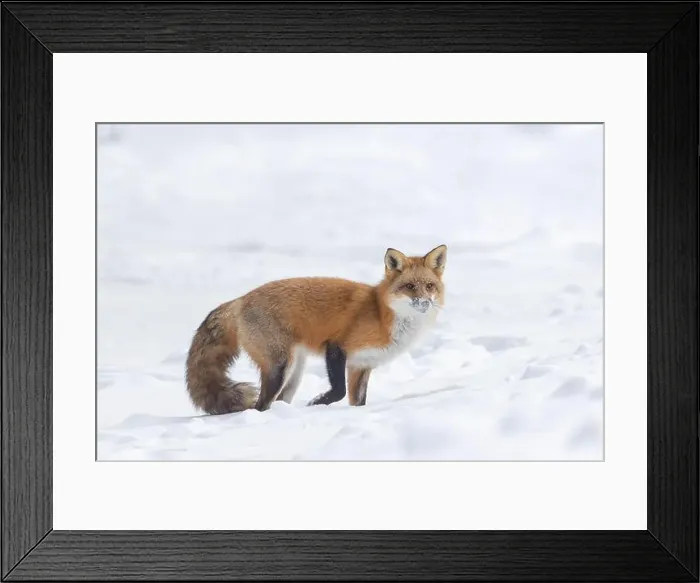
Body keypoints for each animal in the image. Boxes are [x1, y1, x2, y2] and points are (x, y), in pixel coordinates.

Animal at [185, 244, 447, 414]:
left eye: (429, 286)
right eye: (410, 286)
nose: (424, 303)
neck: (382, 314)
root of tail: (240, 300)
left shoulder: (361, 366)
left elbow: (357, 402)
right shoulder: (337, 346)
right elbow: (339, 391)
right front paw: (316, 404)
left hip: (294, 373)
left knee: (278, 401)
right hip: (280, 367)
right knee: (260, 405)